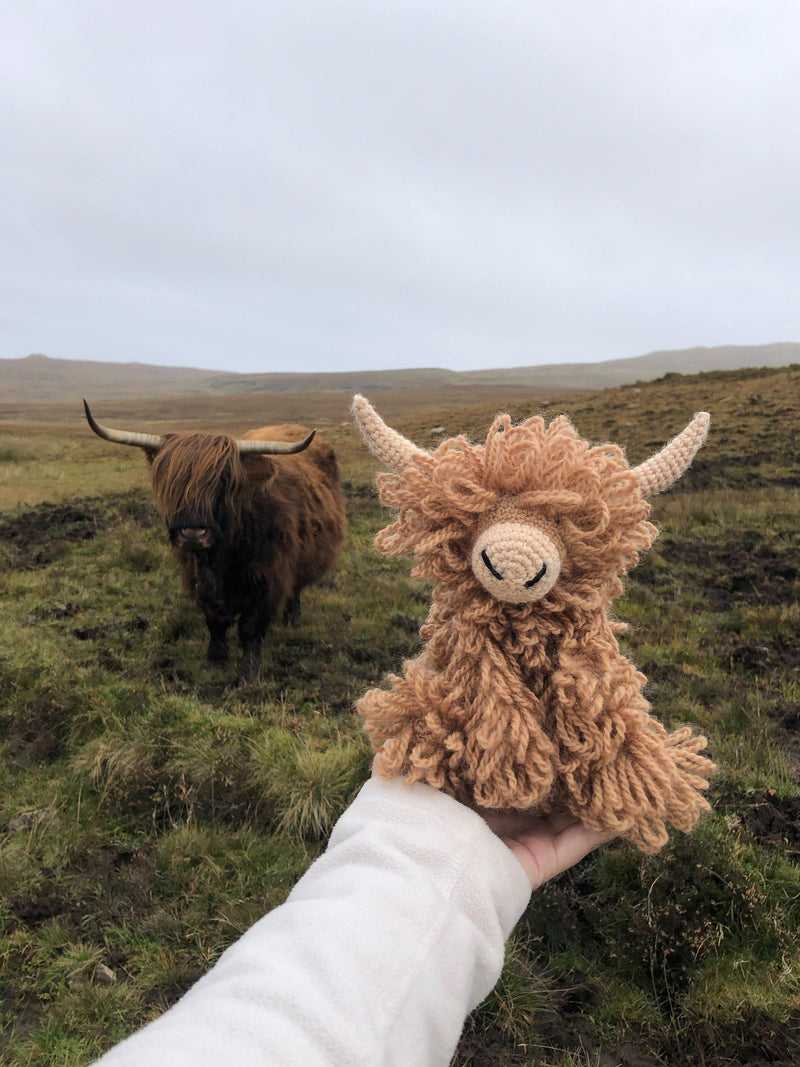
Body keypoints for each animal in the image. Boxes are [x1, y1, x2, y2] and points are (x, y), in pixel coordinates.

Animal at [84, 401, 347, 681]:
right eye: (172, 483)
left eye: (223, 482)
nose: (193, 534)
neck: (226, 552)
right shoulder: (199, 576)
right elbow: (215, 620)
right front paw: (215, 660)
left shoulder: (269, 578)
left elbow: (252, 627)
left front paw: (248, 672)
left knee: (295, 592)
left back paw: (292, 623)